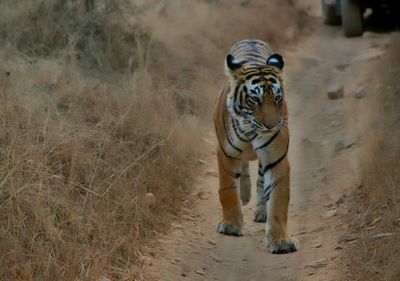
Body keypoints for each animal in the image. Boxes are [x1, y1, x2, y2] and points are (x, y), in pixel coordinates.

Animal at [214, 38, 298, 253]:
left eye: (277, 98)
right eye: (254, 99)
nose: (272, 125)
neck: (251, 129)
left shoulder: (276, 159)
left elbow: (278, 199)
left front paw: (281, 241)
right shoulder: (226, 153)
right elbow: (227, 190)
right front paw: (230, 225)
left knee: (260, 179)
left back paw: (261, 211)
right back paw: (244, 195)